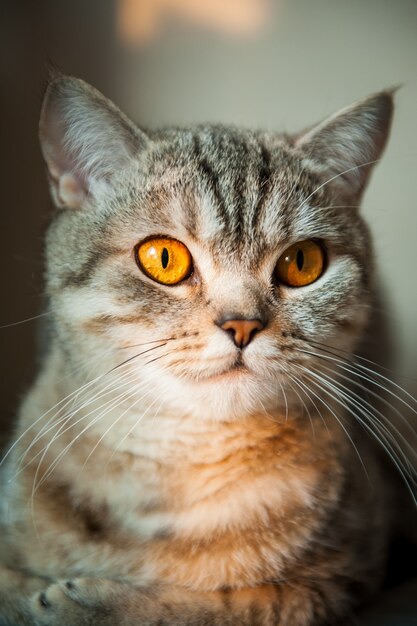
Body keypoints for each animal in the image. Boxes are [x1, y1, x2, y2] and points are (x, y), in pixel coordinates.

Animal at [0, 74, 414, 624]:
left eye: (303, 261)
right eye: (163, 257)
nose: (242, 325)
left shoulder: (338, 578)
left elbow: (216, 606)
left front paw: (89, 604)